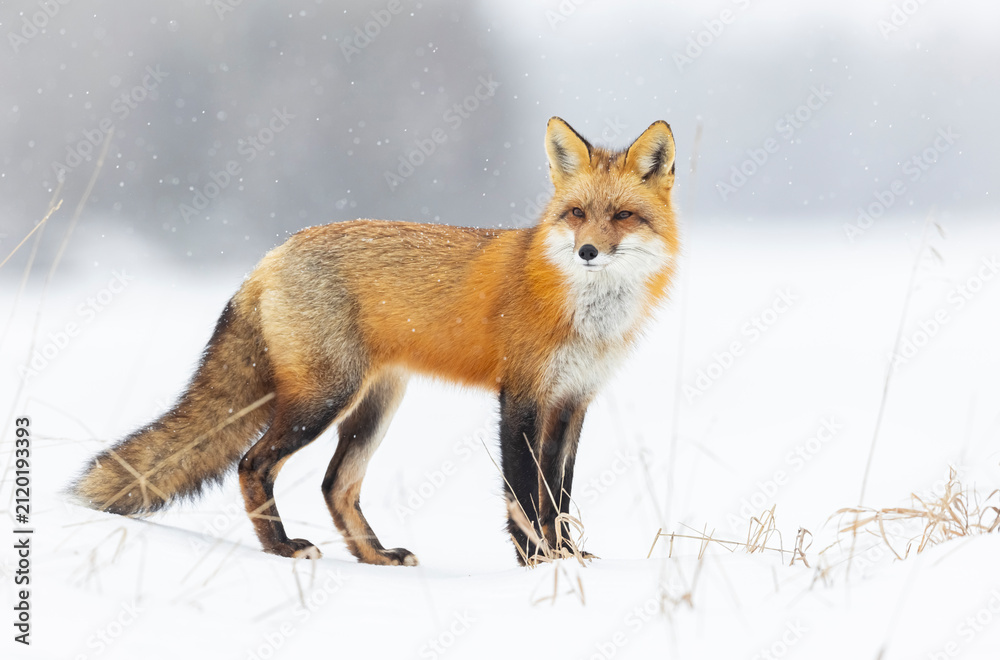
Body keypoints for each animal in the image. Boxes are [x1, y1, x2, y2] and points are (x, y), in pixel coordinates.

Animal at [70, 117, 680, 566]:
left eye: (623, 215)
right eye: (576, 213)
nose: (587, 252)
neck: (585, 315)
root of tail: (269, 257)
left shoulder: (573, 402)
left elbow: (559, 495)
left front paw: (569, 558)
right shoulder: (521, 399)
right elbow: (524, 496)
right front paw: (537, 564)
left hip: (375, 406)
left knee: (335, 486)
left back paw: (376, 557)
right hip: (324, 398)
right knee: (252, 463)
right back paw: (282, 549)